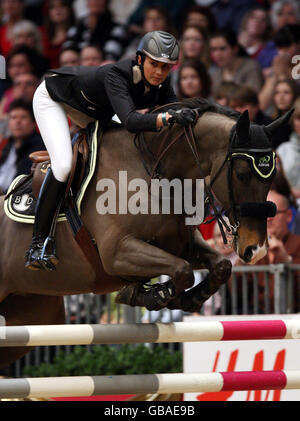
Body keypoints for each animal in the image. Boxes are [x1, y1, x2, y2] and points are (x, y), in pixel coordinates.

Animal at [0, 98, 290, 368]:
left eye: (272, 178)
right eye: (241, 174)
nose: (256, 250)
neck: (157, 174)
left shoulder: (181, 245)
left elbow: (218, 266)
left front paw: (186, 298)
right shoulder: (118, 252)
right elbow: (182, 270)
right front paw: (152, 295)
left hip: (35, 313)